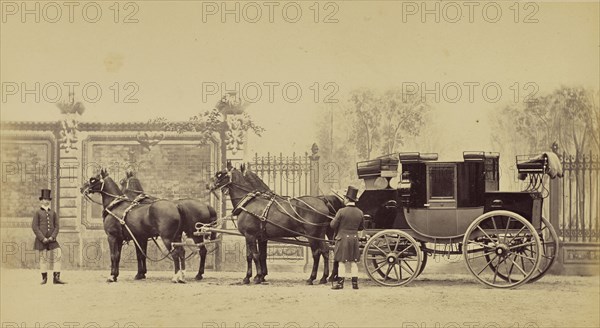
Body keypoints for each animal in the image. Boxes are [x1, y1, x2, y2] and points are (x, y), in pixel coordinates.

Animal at [210, 165, 342, 284]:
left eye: (220, 174)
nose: (210, 186)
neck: (249, 202)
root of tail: (322, 200)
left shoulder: (250, 236)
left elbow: (254, 255)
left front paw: (254, 277)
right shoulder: (260, 238)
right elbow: (259, 255)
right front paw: (258, 276)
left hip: (312, 235)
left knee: (316, 253)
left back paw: (312, 278)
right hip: (320, 234)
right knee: (325, 251)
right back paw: (324, 277)